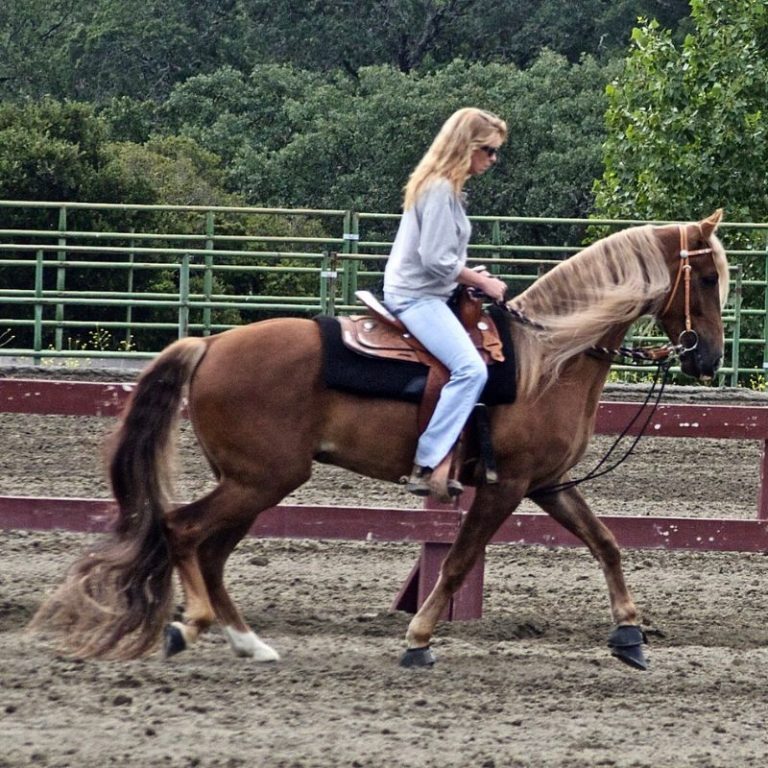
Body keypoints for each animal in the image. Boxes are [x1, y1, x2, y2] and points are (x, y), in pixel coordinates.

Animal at [29, 210, 729, 670]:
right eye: (706, 279)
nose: (708, 359)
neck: (547, 360)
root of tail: (208, 345)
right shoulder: (506, 488)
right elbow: (458, 560)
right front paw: (418, 639)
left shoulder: (548, 485)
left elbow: (606, 543)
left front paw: (630, 637)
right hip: (262, 479)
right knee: (183, 531)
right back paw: (193, 626)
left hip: (255, 482)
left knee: (211, 549)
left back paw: (247, 641)